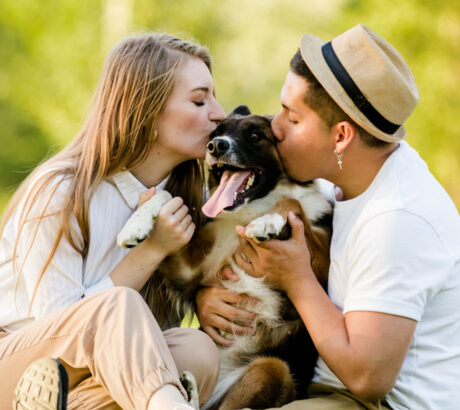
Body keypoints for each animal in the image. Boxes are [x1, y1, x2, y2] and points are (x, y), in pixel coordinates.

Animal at [117, 105, 332, 410]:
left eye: (254, 135)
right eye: (215, 134)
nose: (216, 146)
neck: (248, 210)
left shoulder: (323, 267)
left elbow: (292, 203)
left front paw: (268, 223)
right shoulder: (189, 270)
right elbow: (168, 195)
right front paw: (135, 225)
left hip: (271, 369)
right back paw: (189, 387)